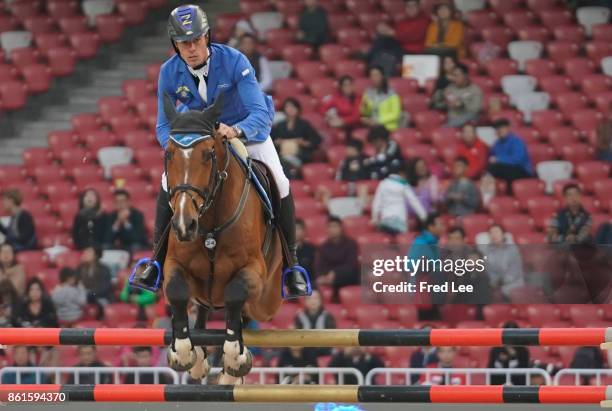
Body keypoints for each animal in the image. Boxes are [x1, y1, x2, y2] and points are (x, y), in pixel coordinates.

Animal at [159, 95, 280, 384]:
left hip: (267, 299)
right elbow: (177, 290)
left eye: (208, 154)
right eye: (168, 154)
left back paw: (229, 374)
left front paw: (235, 358)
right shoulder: (174, 264)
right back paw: (201, 359)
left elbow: (235, 293)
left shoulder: (254, 270)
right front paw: (184, 353)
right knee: (203, 308)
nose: (184, 224)